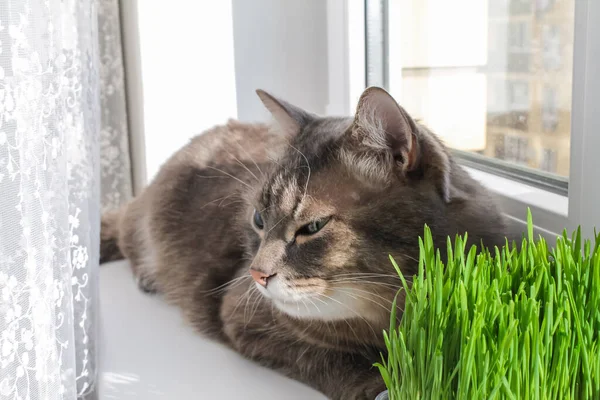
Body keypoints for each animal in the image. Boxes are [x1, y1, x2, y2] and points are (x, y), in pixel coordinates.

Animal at [99, 86, 510, 398]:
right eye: (258, 219)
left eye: (312, 227)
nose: (257, 274)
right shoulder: (243, 315)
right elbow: (333, 358)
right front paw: (377, 383)